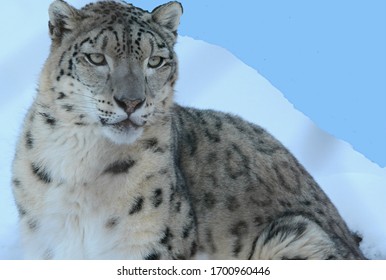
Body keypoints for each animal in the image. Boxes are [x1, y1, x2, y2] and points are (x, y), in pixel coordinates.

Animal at [10, 0, 364, 260]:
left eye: (154, 61)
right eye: (96, 57)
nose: (131, 102)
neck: (81, 163)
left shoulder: (150, 245)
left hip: (296, 235)